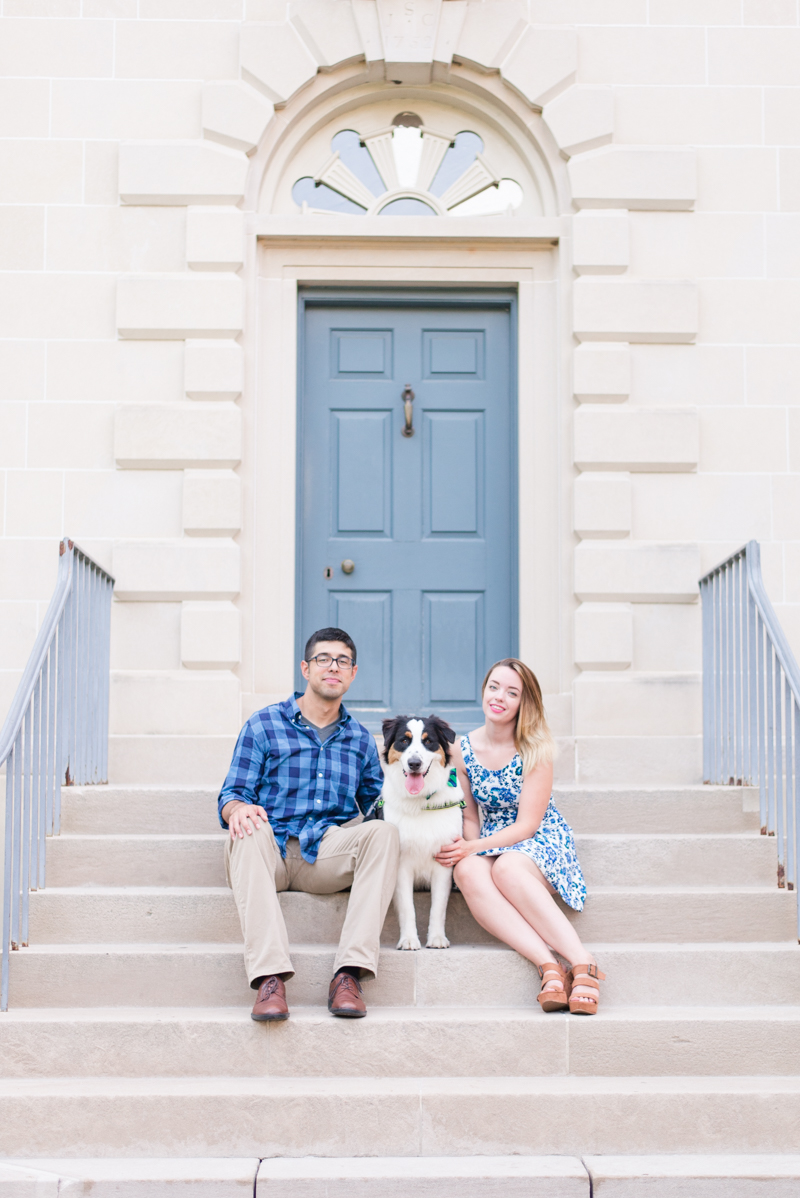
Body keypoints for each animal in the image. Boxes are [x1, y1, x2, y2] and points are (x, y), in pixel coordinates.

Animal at [380, 714, 462, 948]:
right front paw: (408, 940)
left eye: (428, 741)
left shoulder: (444, 863)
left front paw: (437, 938)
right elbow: (408, 908)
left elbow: (438, 908)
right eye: (404, 741)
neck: (420, 802)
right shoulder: (401, 866)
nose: (414, 763)